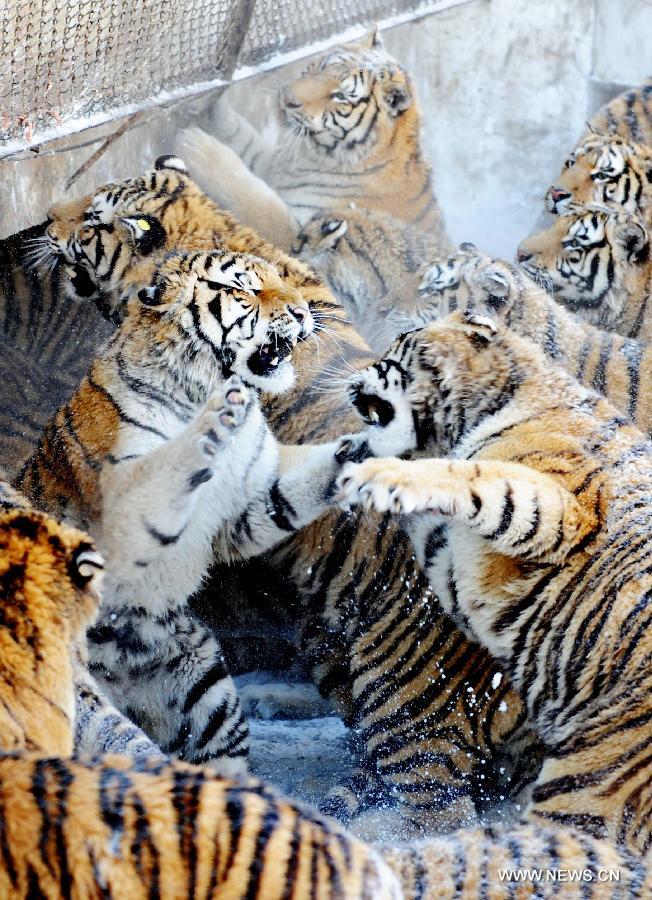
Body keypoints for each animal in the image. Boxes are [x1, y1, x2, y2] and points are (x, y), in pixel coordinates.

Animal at [16, 250, 362, 776]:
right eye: (248, 290)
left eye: (281, 280)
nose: (304, 313)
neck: (200, 384)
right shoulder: (123, 514)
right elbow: (172, 460)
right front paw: (219, 414)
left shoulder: (246, 504)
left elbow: (297, 485)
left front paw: (369, 449)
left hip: (208, 696)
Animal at [176, 27, 448, 251]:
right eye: (321, 67)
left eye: (340, 96)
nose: (287, 99)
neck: (317, 154)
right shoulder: (277, 164)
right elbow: (241, 136)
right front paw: (205, 99)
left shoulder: (307, 234)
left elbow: (257, 203)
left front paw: (197, 147)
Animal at [334, 310, 652, 892]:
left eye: (393, 352)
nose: (352, 378)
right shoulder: (451, 557)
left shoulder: (559, 511)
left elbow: (477, 476)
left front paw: (374, 474)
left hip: (588, 787)